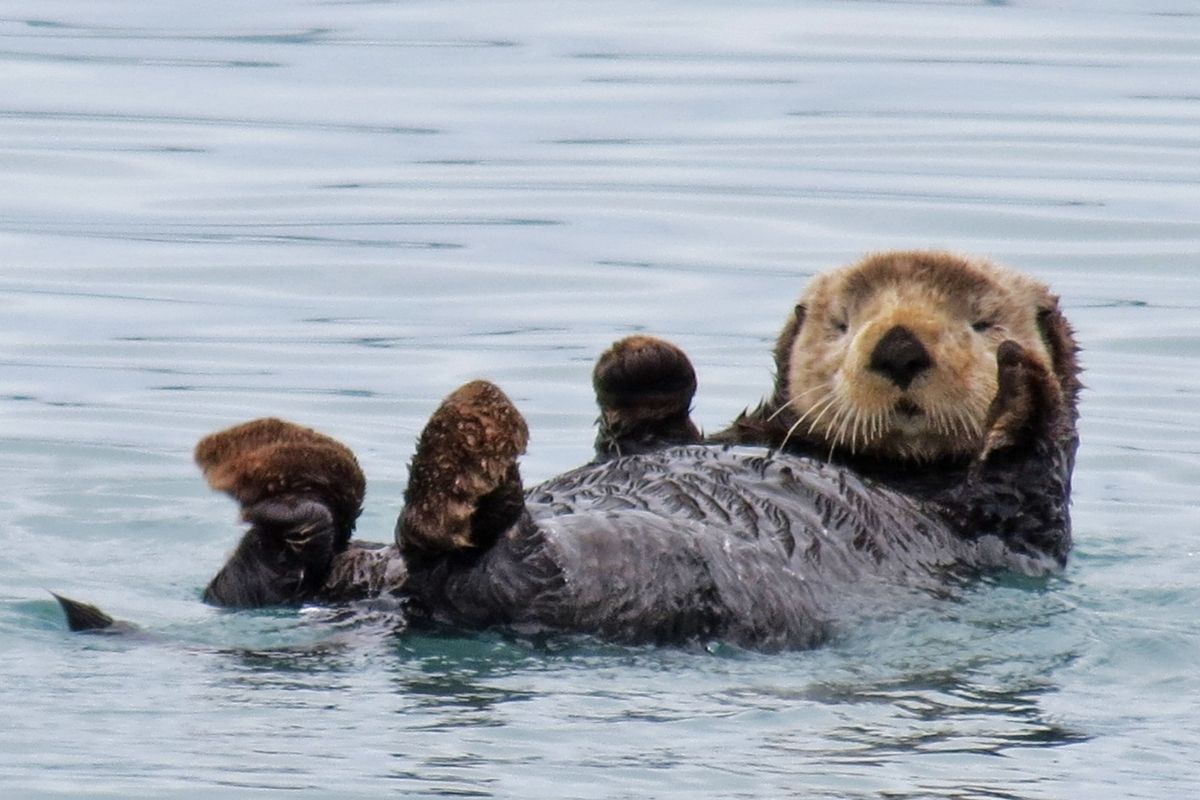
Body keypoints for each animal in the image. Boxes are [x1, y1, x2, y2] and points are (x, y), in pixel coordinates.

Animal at [60, 250, 1084, 652]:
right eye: (843, 321)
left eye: (982, 320)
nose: (898, 346)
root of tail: (389, 612)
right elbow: (649, 422)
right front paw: (643, 358)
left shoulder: (1013, 519)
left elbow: (1027, 458)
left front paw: (1020, 384)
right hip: (356, 570)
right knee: (277, 569)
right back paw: (284, 474)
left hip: (619, 578)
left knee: (477, 559)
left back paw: (459, 453)